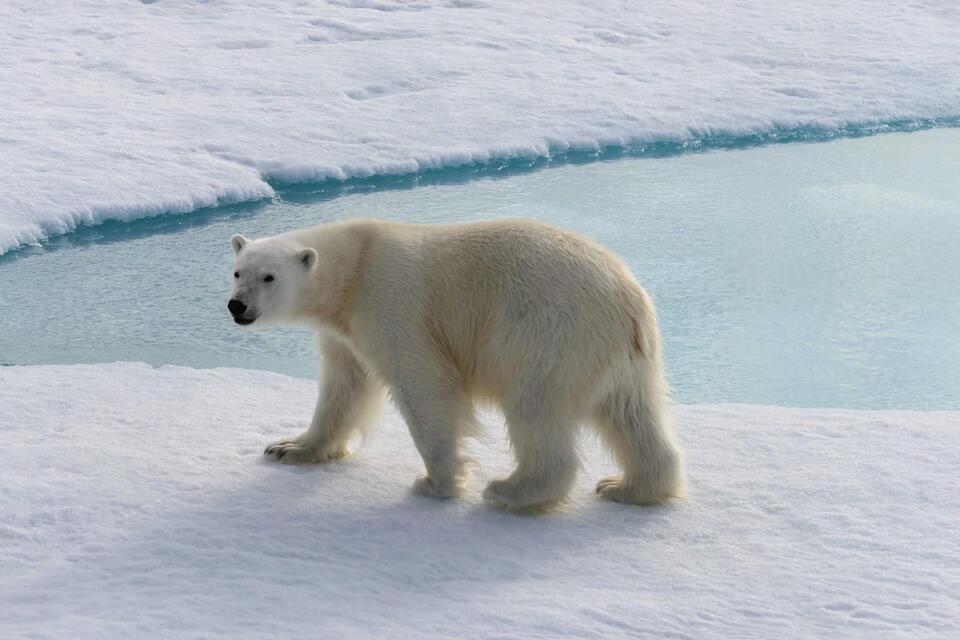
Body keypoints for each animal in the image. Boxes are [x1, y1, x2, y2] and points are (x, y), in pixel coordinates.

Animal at [228, 218, 684, 512]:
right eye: (237, 272)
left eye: (268, 277)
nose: (237, 306)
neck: (354, 265)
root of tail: (629, 299)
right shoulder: (344, 332)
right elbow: (345, 385)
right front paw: (289, 448)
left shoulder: (391, 303)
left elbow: (423, 383)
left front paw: (436, 483)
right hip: (622, 357)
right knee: (631, 414)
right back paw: (628, 487)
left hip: (545, 334)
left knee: (535, 410)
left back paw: (511, 492)